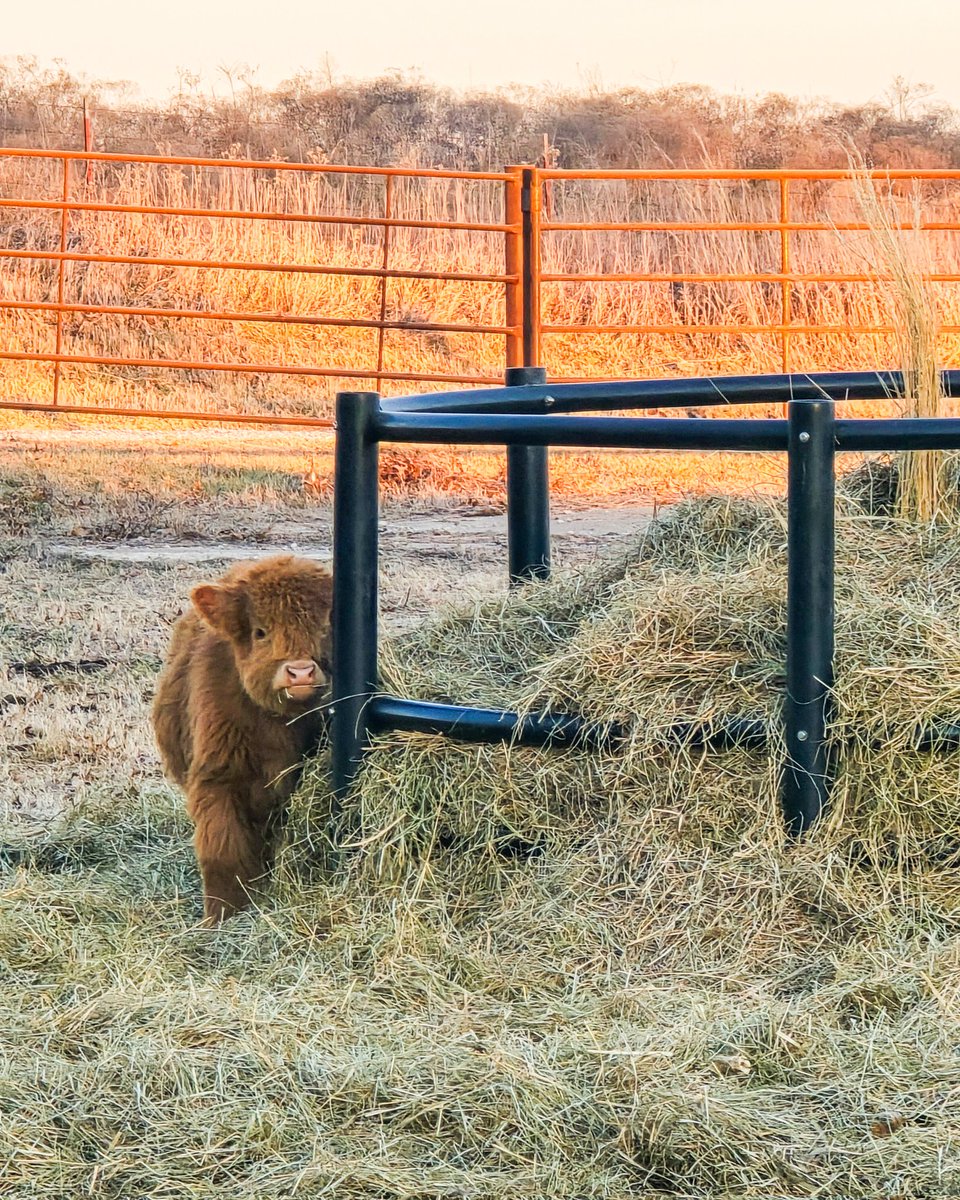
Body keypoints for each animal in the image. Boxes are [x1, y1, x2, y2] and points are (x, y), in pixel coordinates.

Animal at [152, 555, 333, 923]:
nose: (300, 673)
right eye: (260, 632)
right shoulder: (217, 778)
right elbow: (223, 851)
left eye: (324, 627)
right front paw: (222, 916)